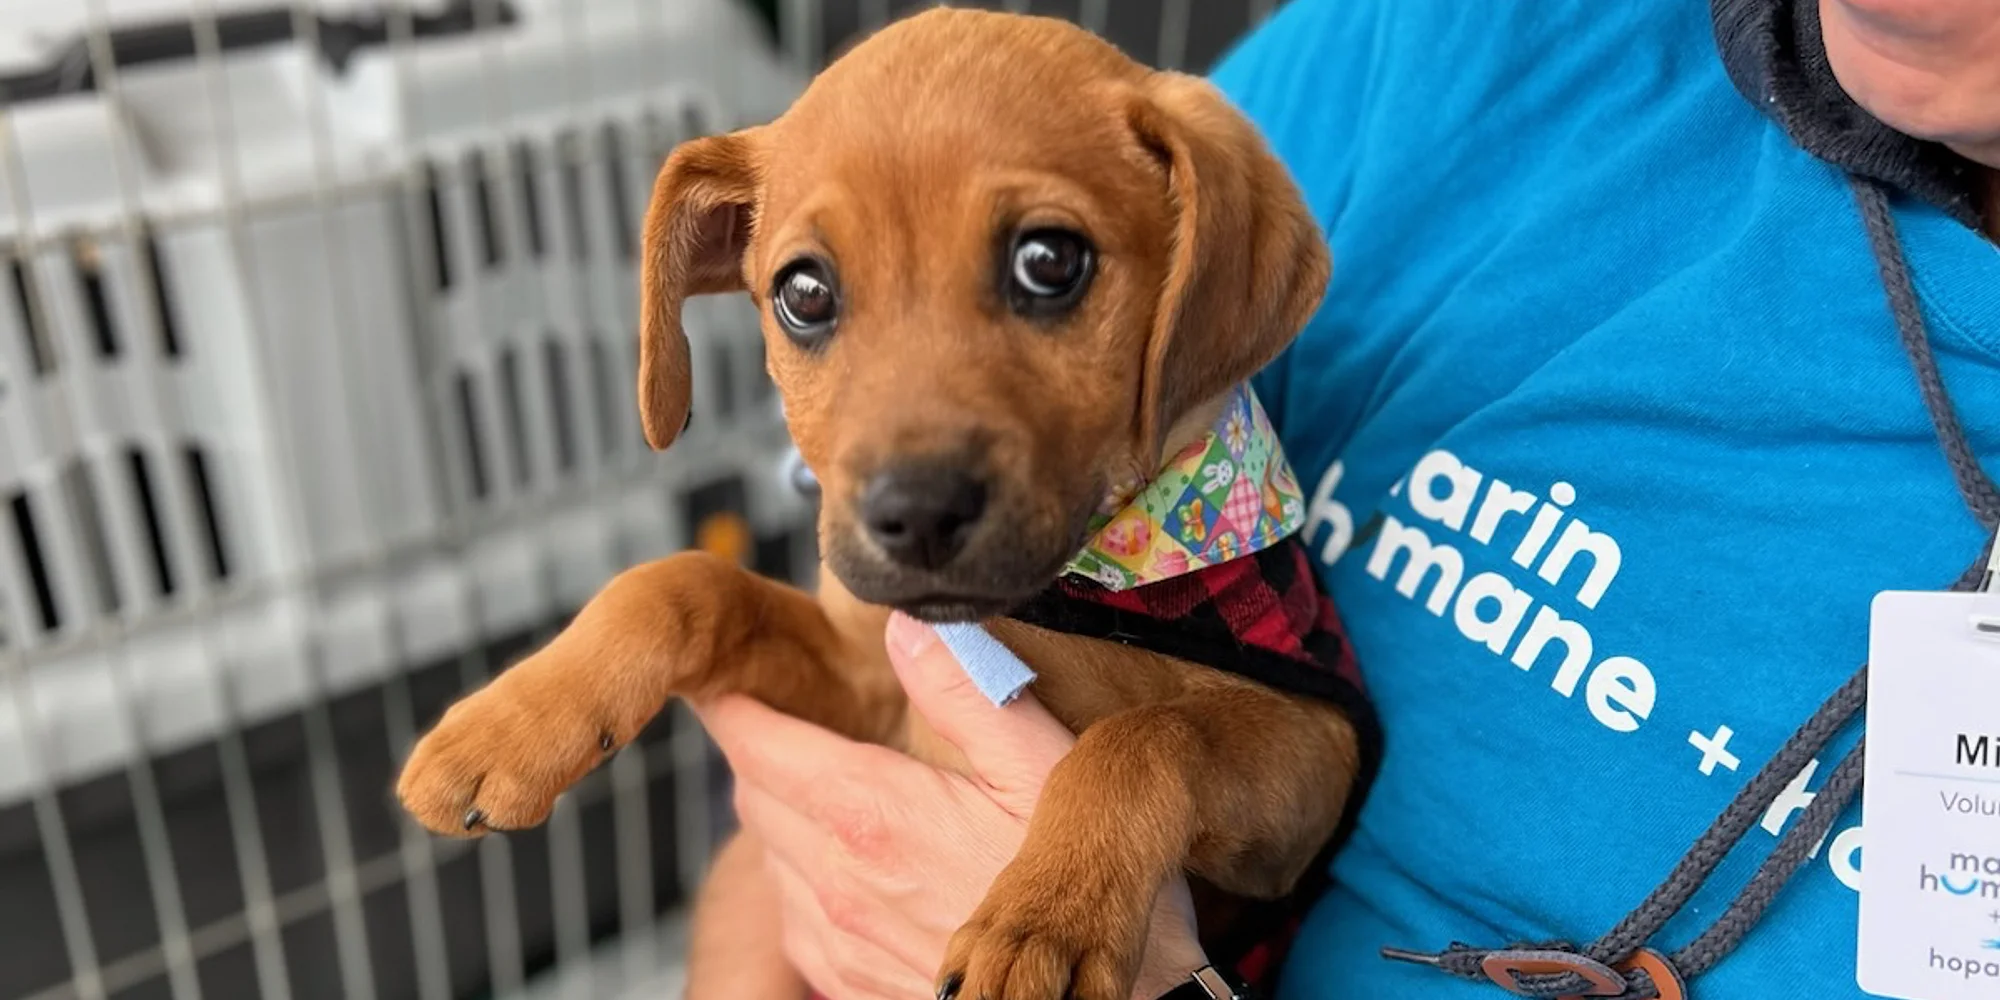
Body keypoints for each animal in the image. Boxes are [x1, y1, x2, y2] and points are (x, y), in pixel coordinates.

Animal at [397, 9, 1376, 999]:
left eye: (1050, 261)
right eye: (803, 292)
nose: (917, 515)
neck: (1069, 591)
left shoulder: (1315, 754)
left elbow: (1145, 737)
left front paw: (1046, 918)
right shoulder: (860, 691)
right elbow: (685, 582)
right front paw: (505, 726)